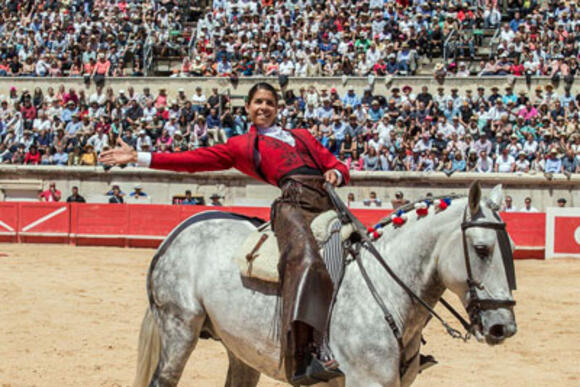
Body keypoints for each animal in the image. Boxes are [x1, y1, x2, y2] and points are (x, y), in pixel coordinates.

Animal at [135, 184, 516, 387]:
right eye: (482, 249)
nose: (503, 327)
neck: (386, 291)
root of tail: (177, 232)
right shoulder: (366, 381)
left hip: (239, 347)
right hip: (179, 329)